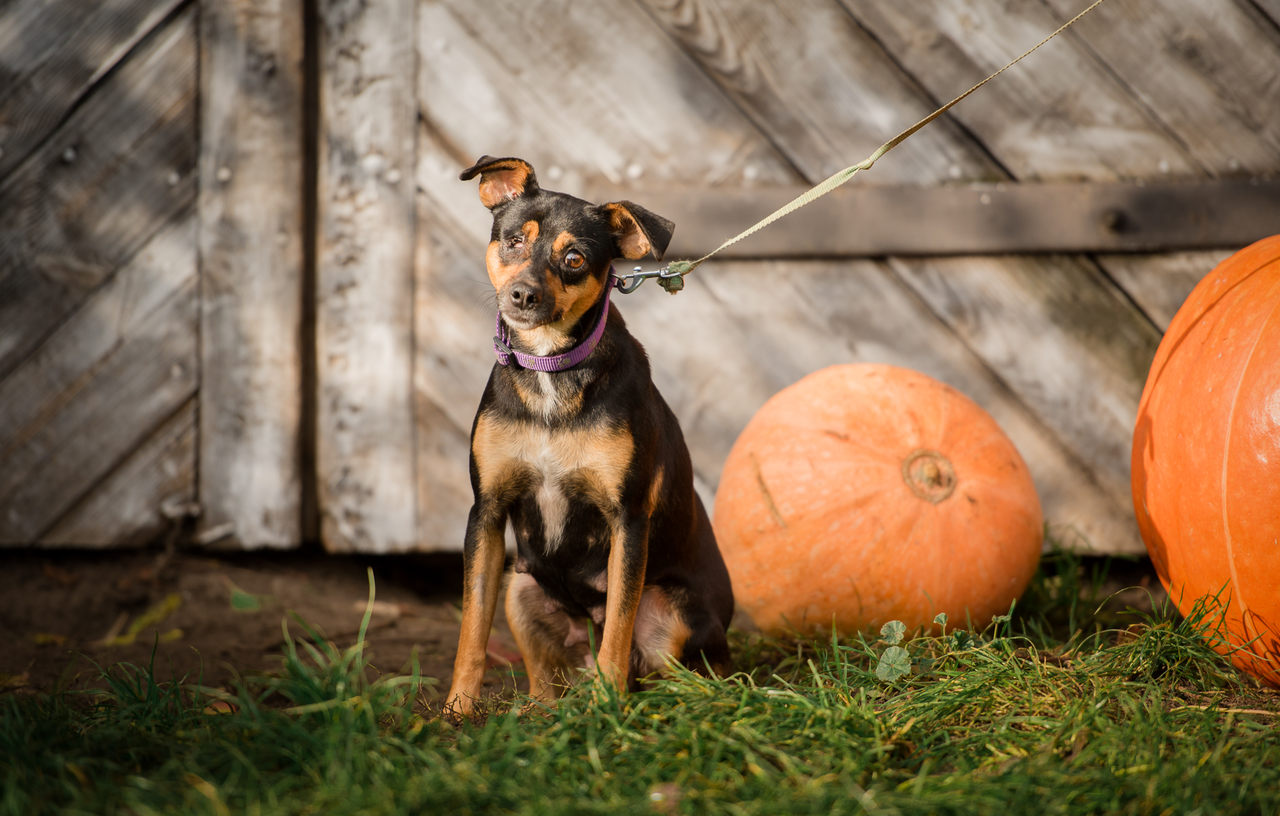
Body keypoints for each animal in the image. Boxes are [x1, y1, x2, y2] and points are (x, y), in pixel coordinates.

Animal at [445, 156, 734, 715]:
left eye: (574, 258)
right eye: (514, 240)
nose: (523, 295)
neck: (551, 369)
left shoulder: (629, 520)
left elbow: (618, 625)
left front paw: (608, 706)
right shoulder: (485, 511)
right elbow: (471, 626)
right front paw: (456, 711)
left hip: (673, 614)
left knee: (671, 674)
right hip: (521, 590)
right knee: (545, 680)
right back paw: (541, 712)